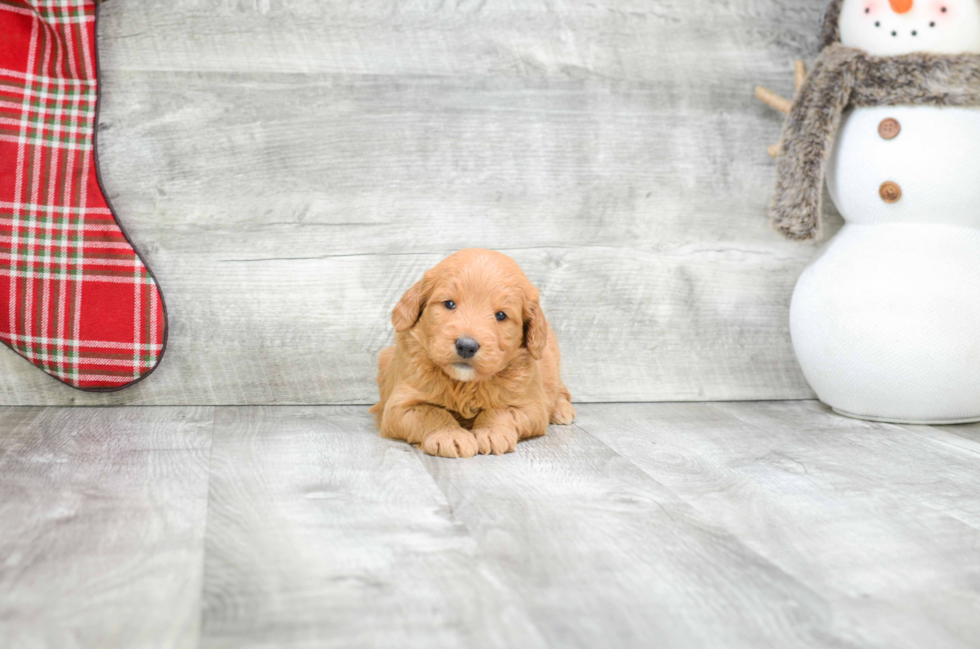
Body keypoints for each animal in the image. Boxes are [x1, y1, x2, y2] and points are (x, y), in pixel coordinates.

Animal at [372, 247, 580, 456]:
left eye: (501, 315)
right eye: (449, 304)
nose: (466, 346)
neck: (464, 384)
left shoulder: (532, 408)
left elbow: (502, 410)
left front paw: (491, 431)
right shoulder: (397, 407)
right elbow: (431, 412)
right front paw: (449, 434)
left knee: (560, 390)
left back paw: (562, 409)